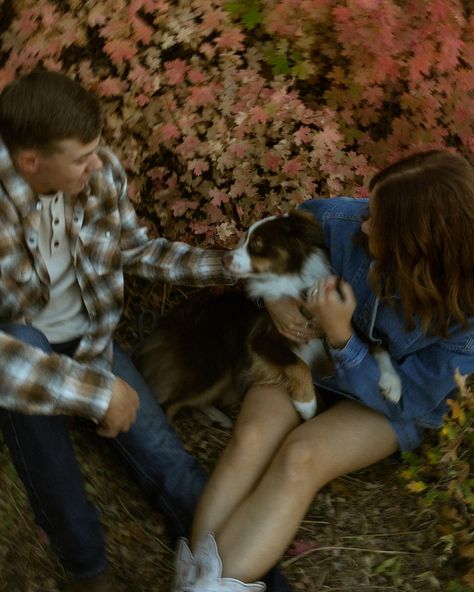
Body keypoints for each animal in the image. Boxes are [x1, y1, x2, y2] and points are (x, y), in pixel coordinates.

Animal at [132, 213, 400, 426]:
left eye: (257, 243)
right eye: (244, 239)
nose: (223, 260)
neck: (293, 284)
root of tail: (159, 329)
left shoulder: (338, 323)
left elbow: (375, 344)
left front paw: (392, 384)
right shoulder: (261, 341)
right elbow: (299, 365)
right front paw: (306, 404)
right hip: (212, 366)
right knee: (166, 404)